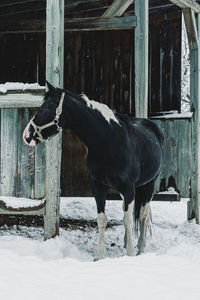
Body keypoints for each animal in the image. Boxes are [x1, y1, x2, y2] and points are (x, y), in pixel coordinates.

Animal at [23, 82, 164, 260]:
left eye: (46, 107)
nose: (26, 135)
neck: (110, 141)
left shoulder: (129, 187)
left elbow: (129, 220)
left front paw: (130, 254)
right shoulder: (98, 185)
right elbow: (103, 219)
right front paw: (100, 256)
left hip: (148, 185)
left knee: (143, 215)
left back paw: (140, 248)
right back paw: (127, 243)